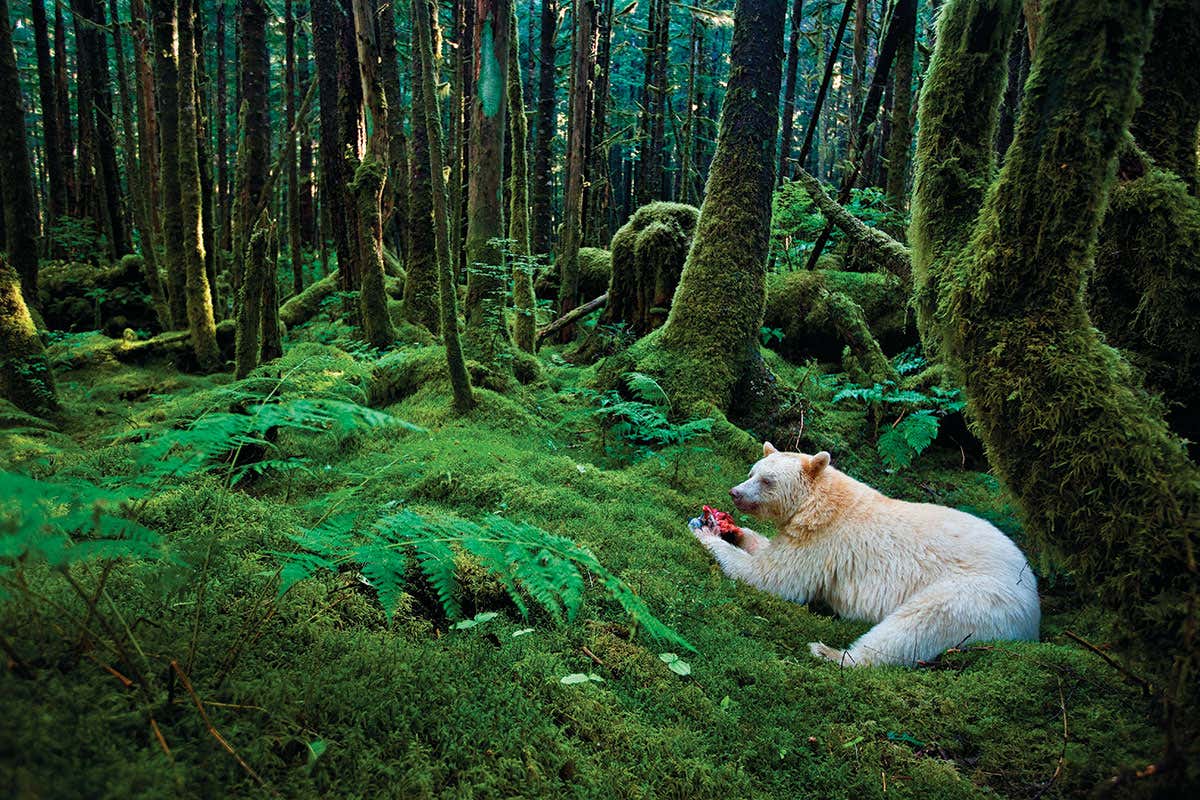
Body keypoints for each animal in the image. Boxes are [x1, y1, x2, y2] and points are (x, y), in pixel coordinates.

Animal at [691, 442, 1041, 666]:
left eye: (766, 480)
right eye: (752, 471)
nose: (735, 493)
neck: (820, 502)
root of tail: (1034, 608)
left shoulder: (824, 541)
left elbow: (775, 578)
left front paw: (706, 533)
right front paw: (732, 530)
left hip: (979, 597)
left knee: (918, 624)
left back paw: (831, 653)